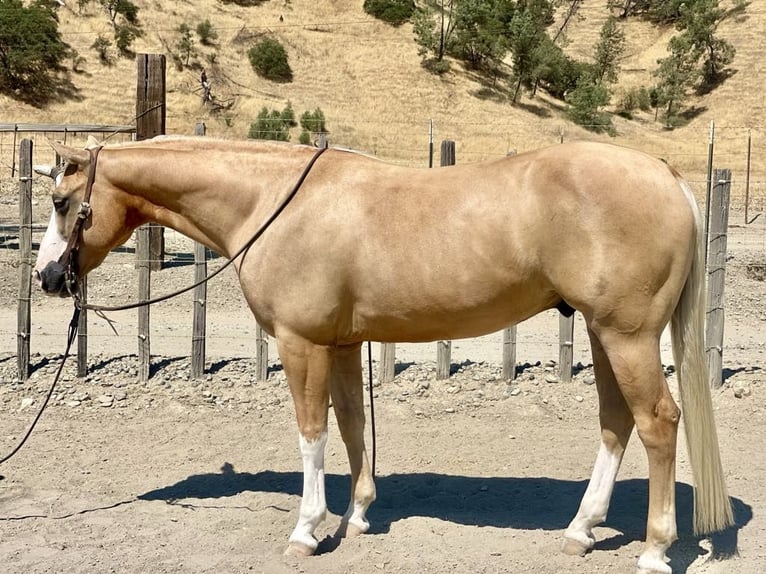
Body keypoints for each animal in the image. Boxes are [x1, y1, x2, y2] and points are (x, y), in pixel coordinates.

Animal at [32, 136, 734, 574]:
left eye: (63, 203)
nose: (47, 278)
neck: (272, 201)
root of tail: (667, 175)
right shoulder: (342, 343)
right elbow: (350, 425)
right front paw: (358, 517)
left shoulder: (301, 342)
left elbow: (311, 432)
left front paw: (306, 530)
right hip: (601, 332)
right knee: (616, 422)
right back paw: (581, 531)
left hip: (626, 336)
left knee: (657, 423)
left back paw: (654, 550)